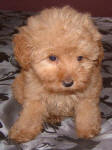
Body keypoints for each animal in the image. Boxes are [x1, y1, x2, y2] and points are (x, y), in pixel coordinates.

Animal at [9, 5, 103, 142]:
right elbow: (30, 114)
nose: (68, 83)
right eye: (52, 58)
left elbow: (87, 111)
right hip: (18, 87)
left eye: (80, 58)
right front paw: (23, 131)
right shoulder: (34, 95)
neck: (61, 92)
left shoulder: (88, 94)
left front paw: (88, 129)